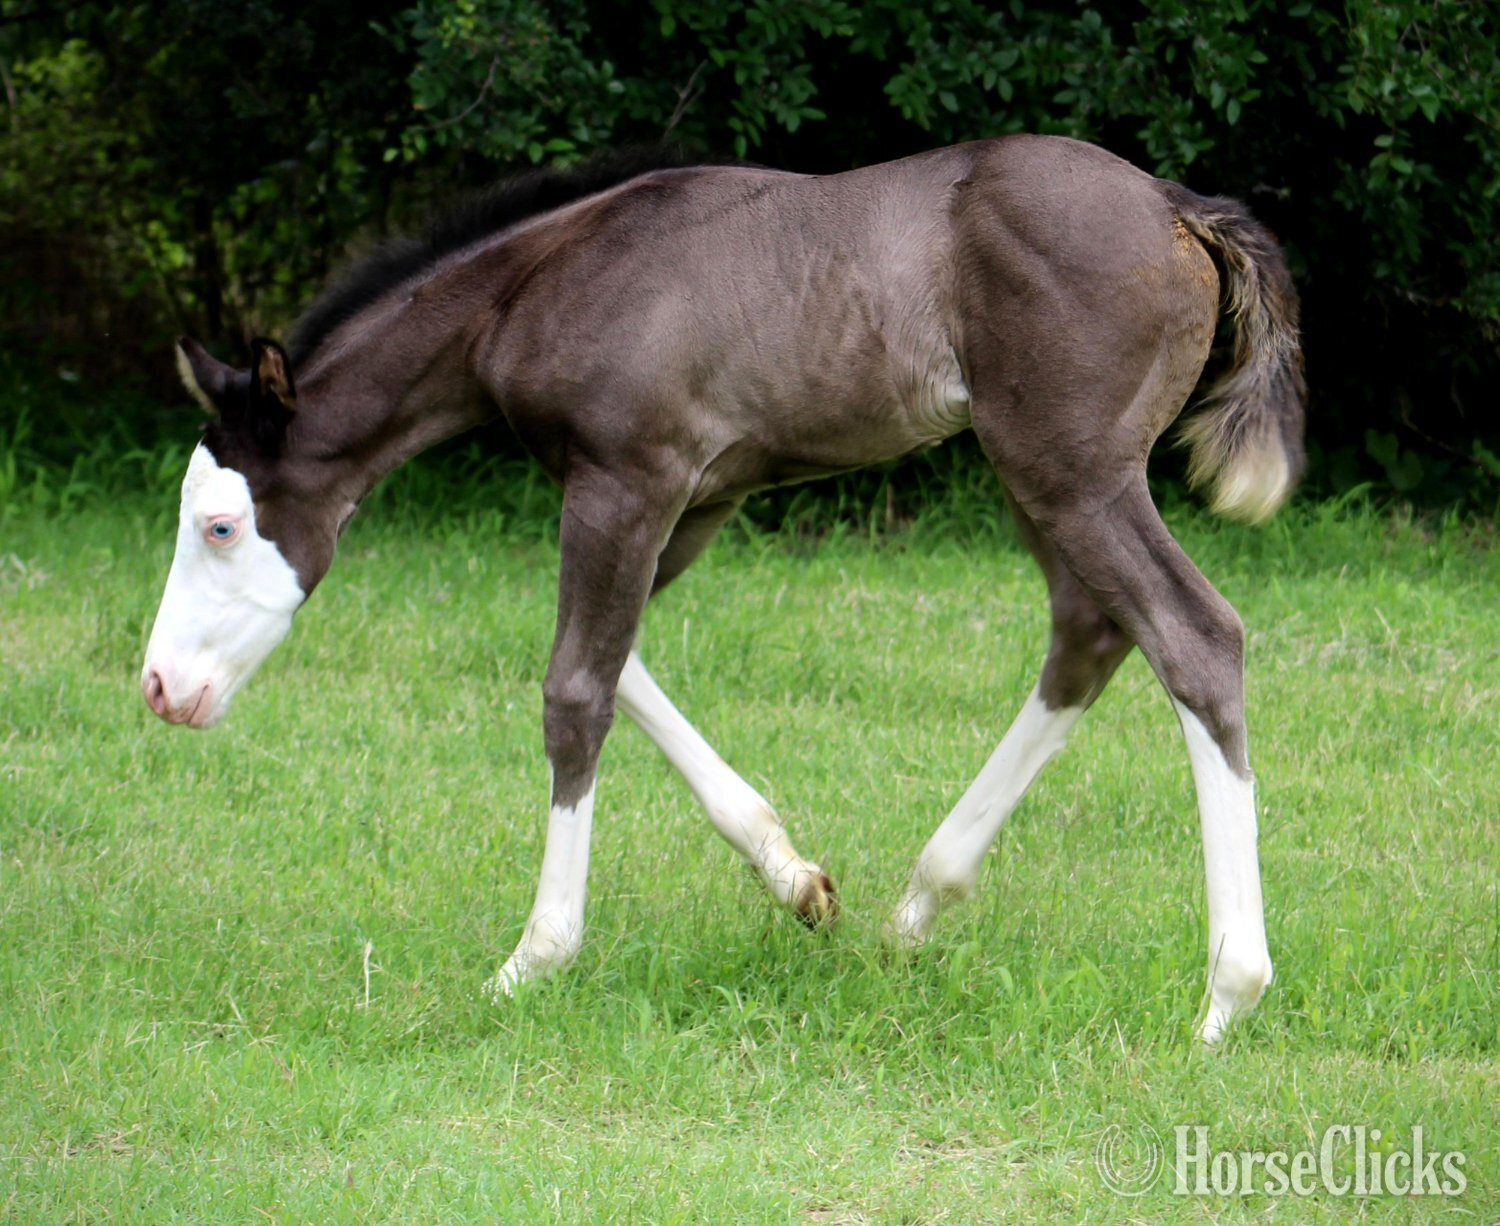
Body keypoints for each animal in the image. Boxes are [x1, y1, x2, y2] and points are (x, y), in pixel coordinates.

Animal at [141, 137, 1305, 1042]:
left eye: (221, 524)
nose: (161, 689)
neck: (538, 284)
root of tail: (1178, 208)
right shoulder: (696, 500)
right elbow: (615, 662)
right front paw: (798, 881)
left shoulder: (624, 482)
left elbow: (574, 689)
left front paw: (534, 958)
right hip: (1040, 478)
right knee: (1089, 633)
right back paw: (917, 908)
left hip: (1074, 472)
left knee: (1195, 637)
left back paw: (1226, 996)